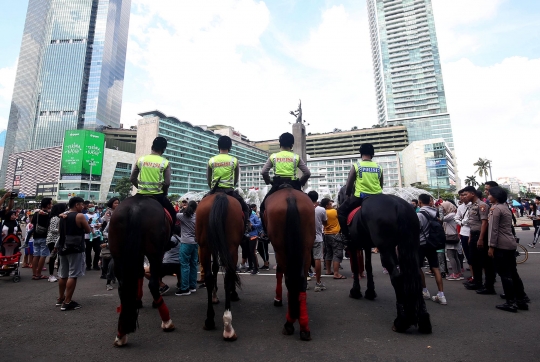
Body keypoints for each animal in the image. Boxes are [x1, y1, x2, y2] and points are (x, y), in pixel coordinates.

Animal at [105, 195, 173, 348]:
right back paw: (166, 321)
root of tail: (135, 209)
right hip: (155, 253)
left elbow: (139, 274)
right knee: (152, 284)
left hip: (118, 255)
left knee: (122, 287)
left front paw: (137, 300)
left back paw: (121, 333)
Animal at [196, 194, 243, 340]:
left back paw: (210, 320)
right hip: (231, 247)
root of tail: (220, 195)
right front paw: (233, 293)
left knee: (209, 278)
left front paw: (214, 295)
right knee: (228, 277)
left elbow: (215, 268)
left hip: (204, 247)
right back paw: (228, 324)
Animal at [264, 187, 314, 342]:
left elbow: (279, 272)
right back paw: (304, 326)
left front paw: (278, 299)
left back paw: (289, 323)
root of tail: (290, 197)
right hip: (305, 247)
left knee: (289, 279)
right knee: (301, 280)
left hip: (280, 247)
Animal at [348, 195, 432, 334]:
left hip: (385, 247)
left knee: (396, 277)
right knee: (417, 276)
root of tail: (399, 205)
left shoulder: (352, 244)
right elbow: (368, 266)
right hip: (412, 244)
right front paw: (370, 291)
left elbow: (355, 267)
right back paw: (424, 320)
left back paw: (401, 321)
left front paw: (355, 291)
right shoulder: (366, 245)